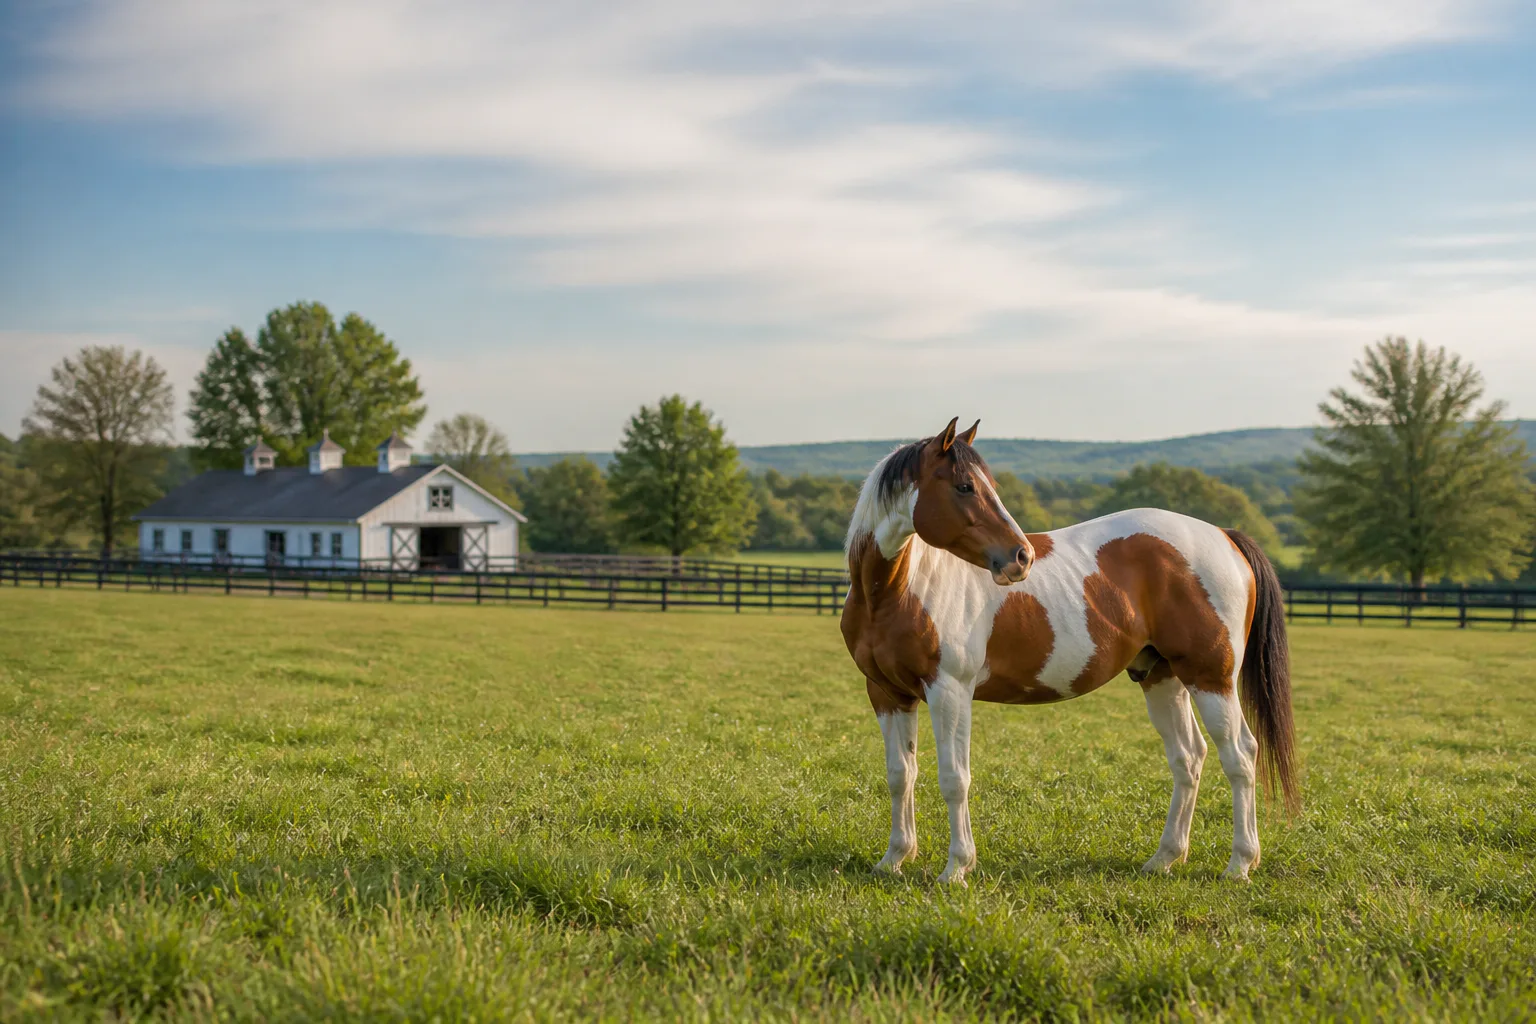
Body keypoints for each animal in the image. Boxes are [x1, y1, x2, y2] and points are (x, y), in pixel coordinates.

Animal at [840, 417, 1298, 884]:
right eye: (965, 486)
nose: (1020, 557)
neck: (897, 590)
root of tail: (1224, 536)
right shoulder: (888, 694)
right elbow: (900, 774)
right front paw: (894, 858)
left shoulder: (949, 691)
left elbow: (954, 778)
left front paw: (956, 868)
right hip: (1163, 677)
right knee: (1188, 757)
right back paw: (1165, 858)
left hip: (1211, 679)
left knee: (1240, 755)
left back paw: (1239, 863)